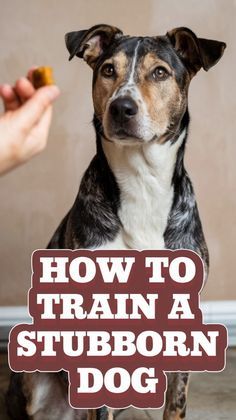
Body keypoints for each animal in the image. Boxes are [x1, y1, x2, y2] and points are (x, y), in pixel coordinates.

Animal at [6, 23, 226, 420]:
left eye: (160, 72)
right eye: (108, 70)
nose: (122, 107)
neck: (143, 180)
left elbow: (176, 403)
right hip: (31, 382)